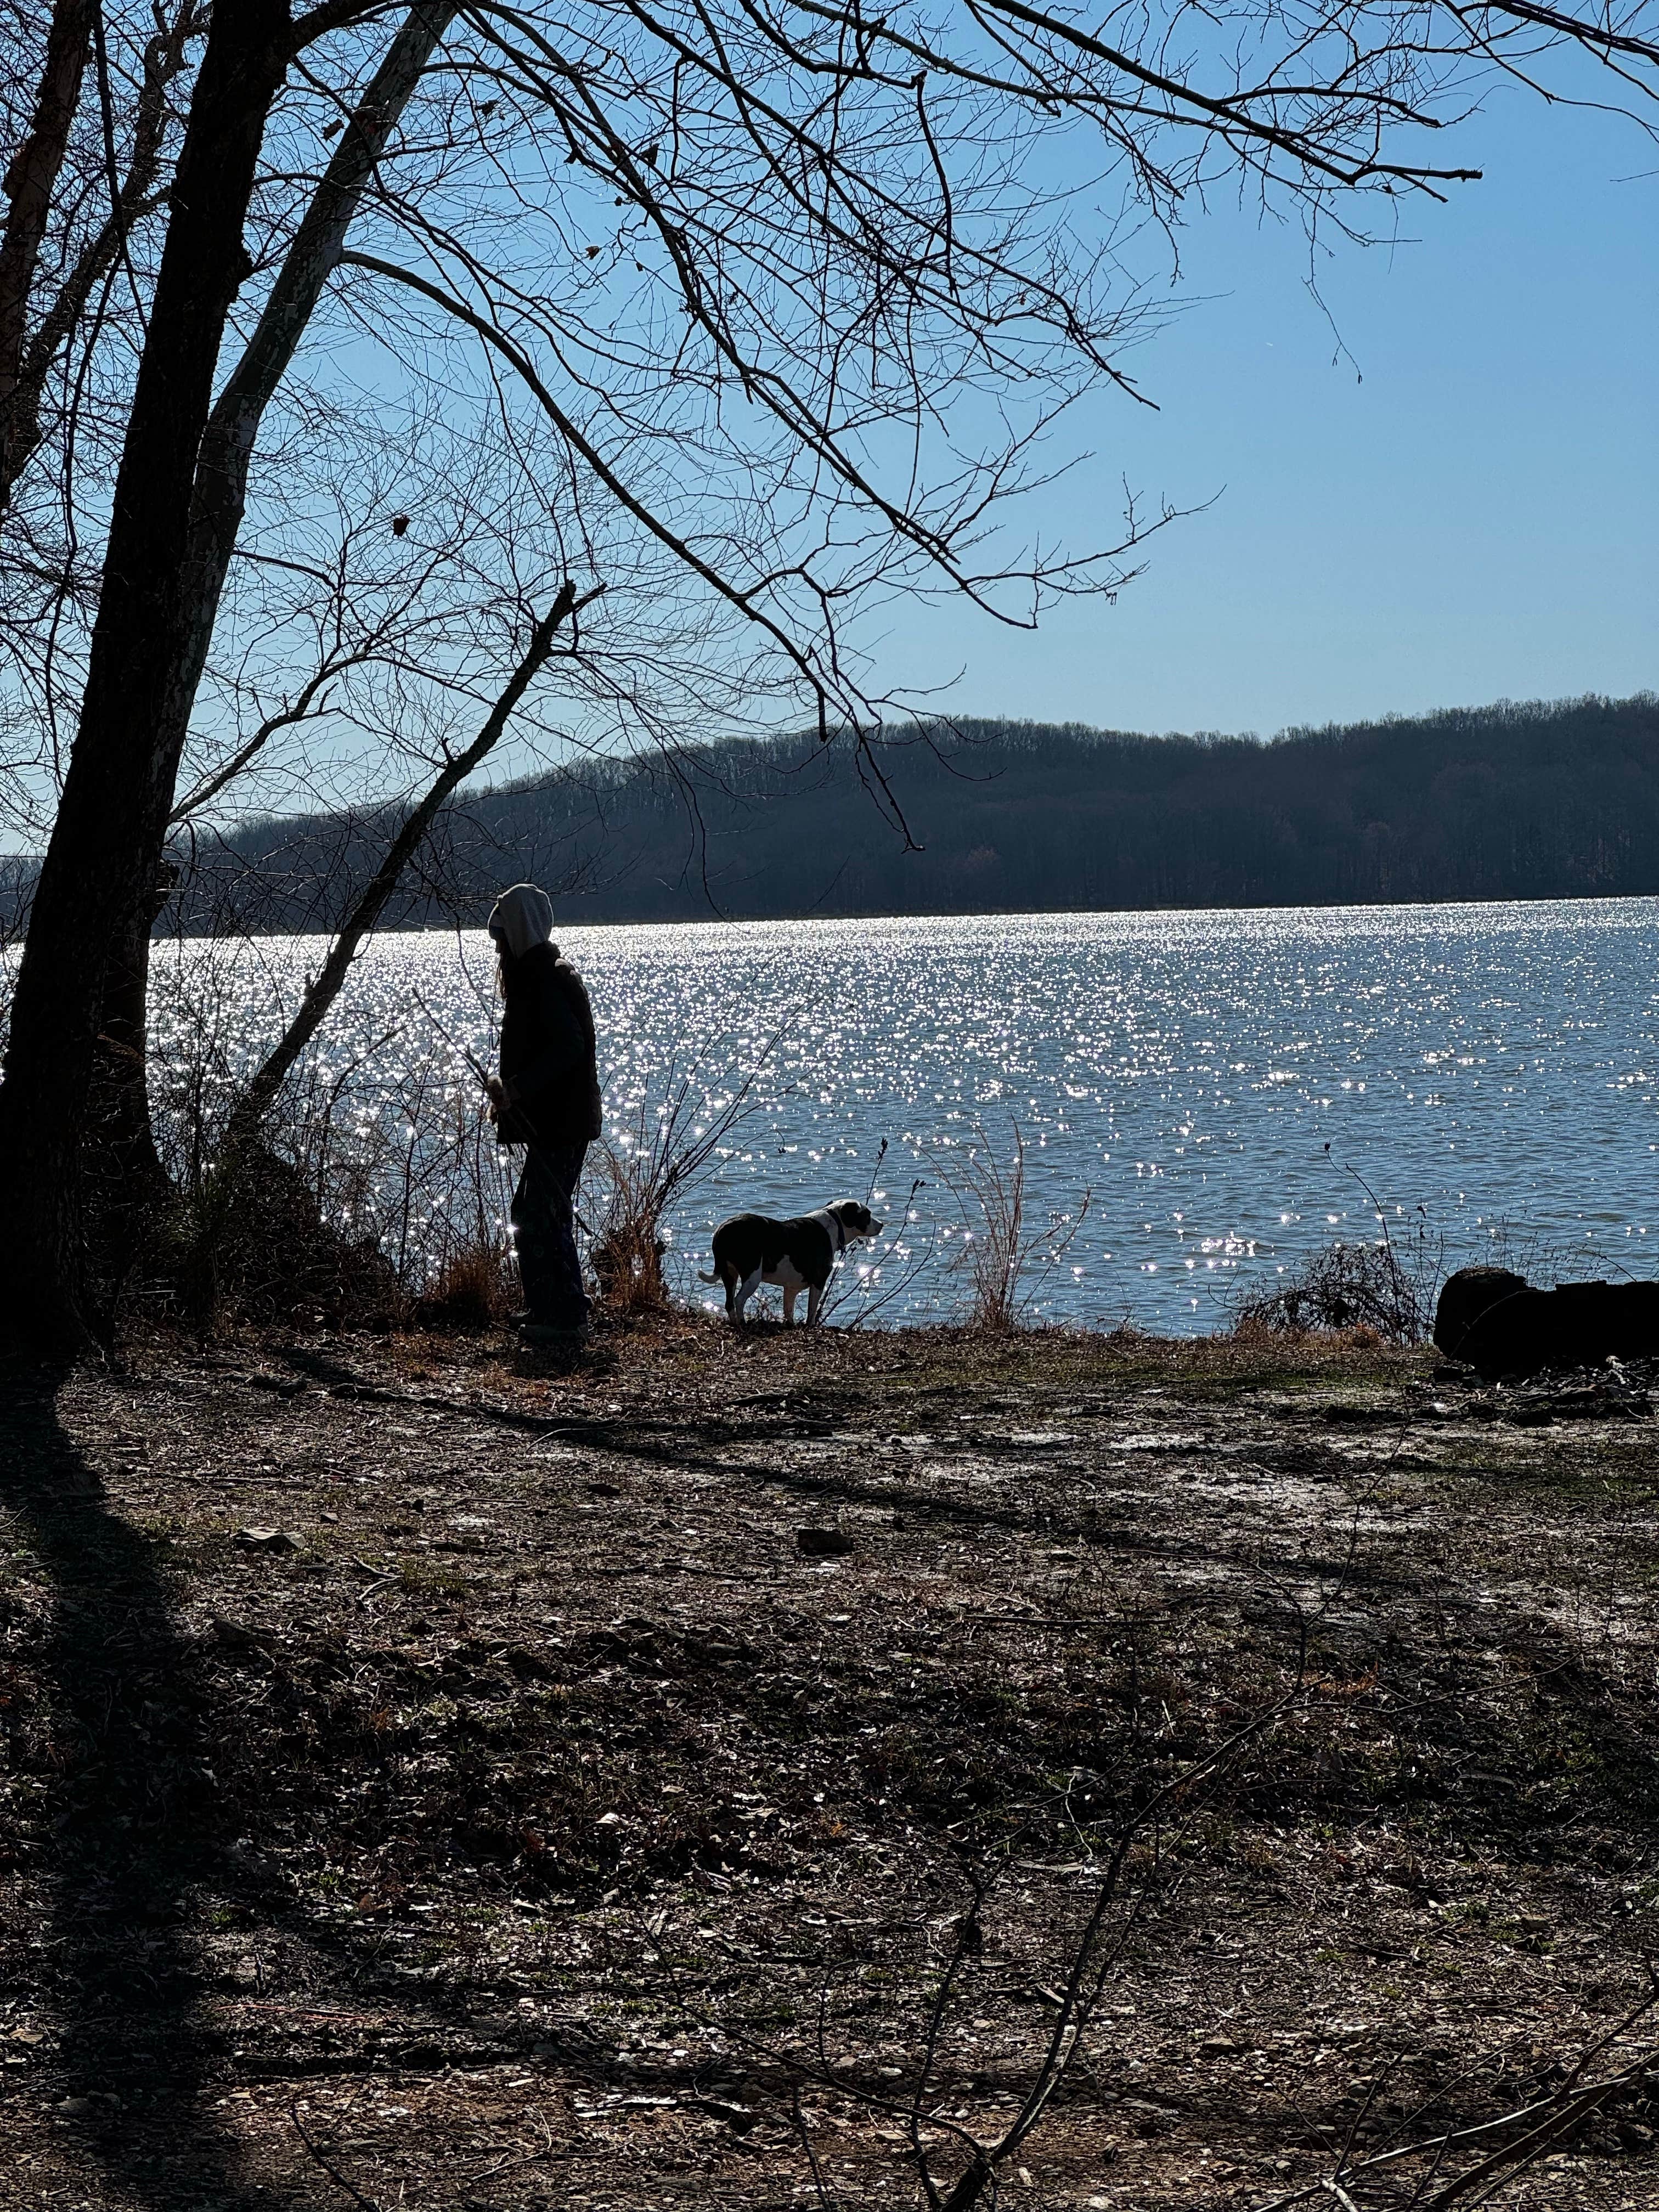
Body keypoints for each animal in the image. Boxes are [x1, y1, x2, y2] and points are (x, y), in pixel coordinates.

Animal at [703, 1203, 884, 1318]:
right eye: (867, 1215)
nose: (882, 1224)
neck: (835, 1223)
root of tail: (723, 1228)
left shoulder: (791, 1289)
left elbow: (788, 1312)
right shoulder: (819, 1282)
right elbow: (812, 1312)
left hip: (729, 1274)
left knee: (729, 1304)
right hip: (752, 1275)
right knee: (738, 1301)